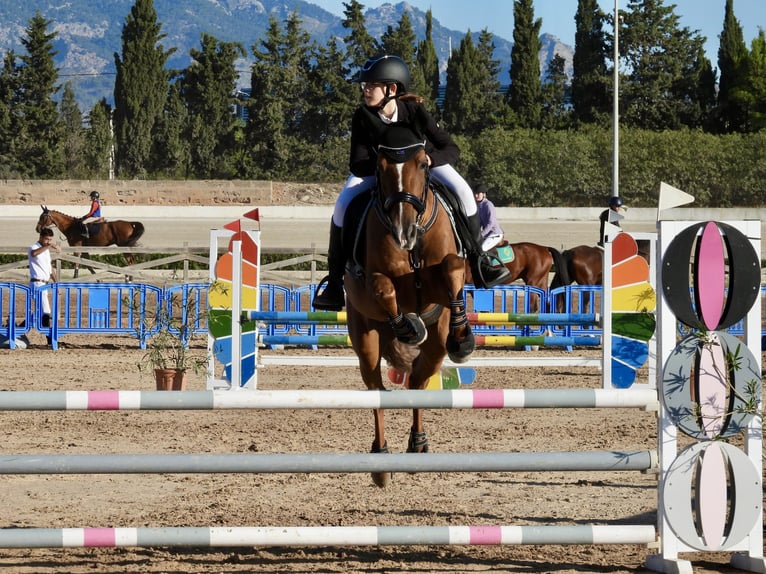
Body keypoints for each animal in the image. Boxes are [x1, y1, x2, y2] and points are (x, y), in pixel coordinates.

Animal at [343, 123, 475, 488]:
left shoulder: (443, 278)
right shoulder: (376, 282)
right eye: (380, 167)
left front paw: (463, 338)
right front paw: (409, 326)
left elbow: (453, 269)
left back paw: (417, 446)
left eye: (422, 163)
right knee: (376, 389)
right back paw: (381, 459)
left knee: (417, 382)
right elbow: (383, 287)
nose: (404, 232)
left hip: (435, 347)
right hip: (365, 339)